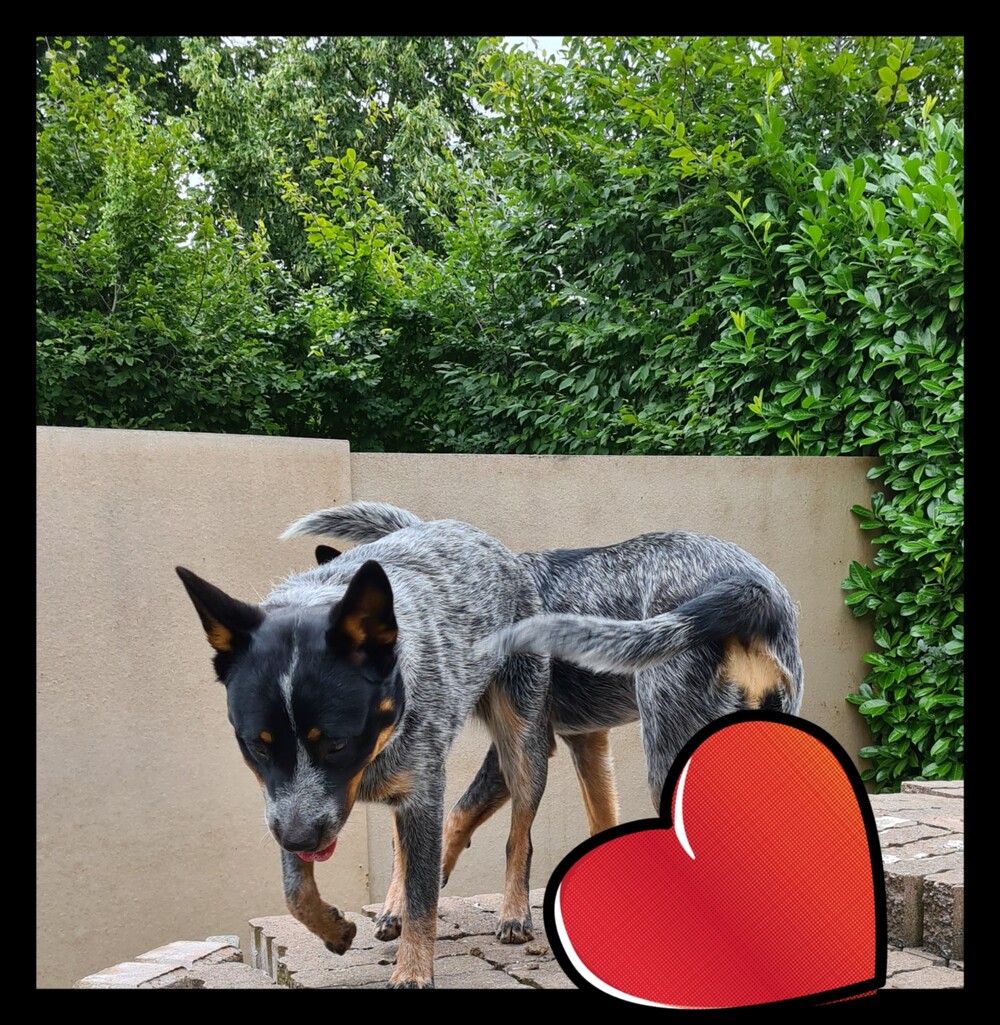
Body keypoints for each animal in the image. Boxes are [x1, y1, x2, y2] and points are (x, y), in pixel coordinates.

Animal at [176, 502, 551, 988]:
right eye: (257, 747)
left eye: (336, 743)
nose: (297, 838)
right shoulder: (283, 802)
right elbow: (295, 890)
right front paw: (334, 928)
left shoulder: (420, 791)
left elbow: (424, 897)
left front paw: (412, 972)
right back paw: (391, 906)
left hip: (521, 742)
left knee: (518, 832)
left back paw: (514, 911)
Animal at [316, 508, 804, 883]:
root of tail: (748, 589)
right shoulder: (586, 741)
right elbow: (601, 820)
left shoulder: (520, 742)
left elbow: (456, 816)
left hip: (666, 751)